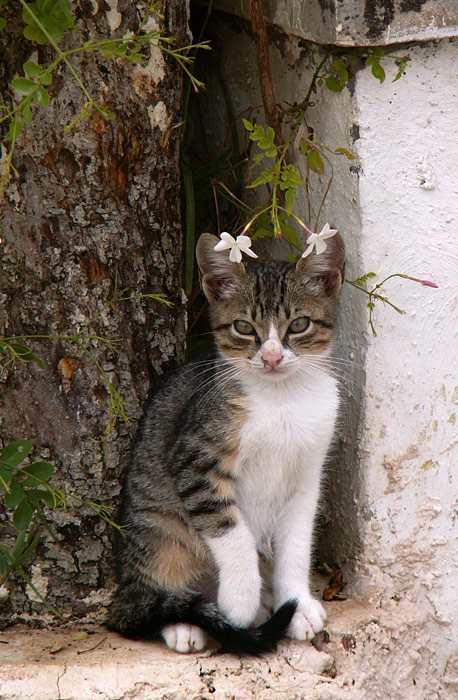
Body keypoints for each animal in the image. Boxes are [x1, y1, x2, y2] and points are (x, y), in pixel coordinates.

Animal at [108, 232, 344, 652]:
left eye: (299, 324)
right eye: (243, 327)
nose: (271, 357)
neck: (280, 399)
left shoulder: (307, 474)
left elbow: (297, 544)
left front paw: (297, 603)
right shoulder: (195, 458)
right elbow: (229, 528)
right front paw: (239, 599)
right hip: (155, 526)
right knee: (154, 589)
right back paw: (184, 621)